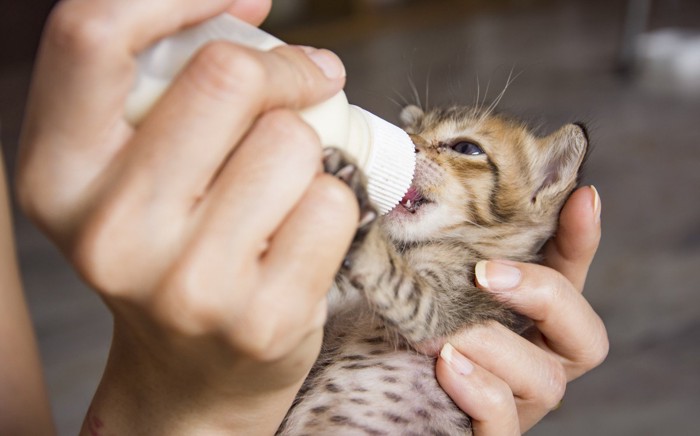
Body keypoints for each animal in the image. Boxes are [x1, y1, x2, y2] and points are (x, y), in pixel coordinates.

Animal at [276, 104, 588, 434]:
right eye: (413, 130)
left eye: (466, 148)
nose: (408, 141)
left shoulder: (443, 310)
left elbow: (398, 280)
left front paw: (359, 210)